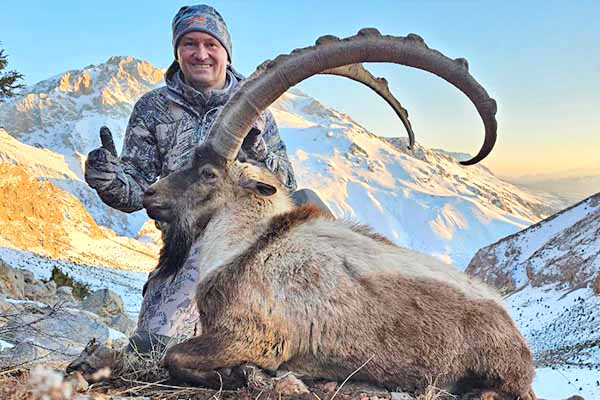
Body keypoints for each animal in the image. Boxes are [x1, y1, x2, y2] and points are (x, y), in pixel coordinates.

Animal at [142, 29, 536, 400]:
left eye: (208, 173)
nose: (150, 194)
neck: (249, 246)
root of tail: (518, 340)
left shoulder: (252, 336)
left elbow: (174, 357)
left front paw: (236, 374)